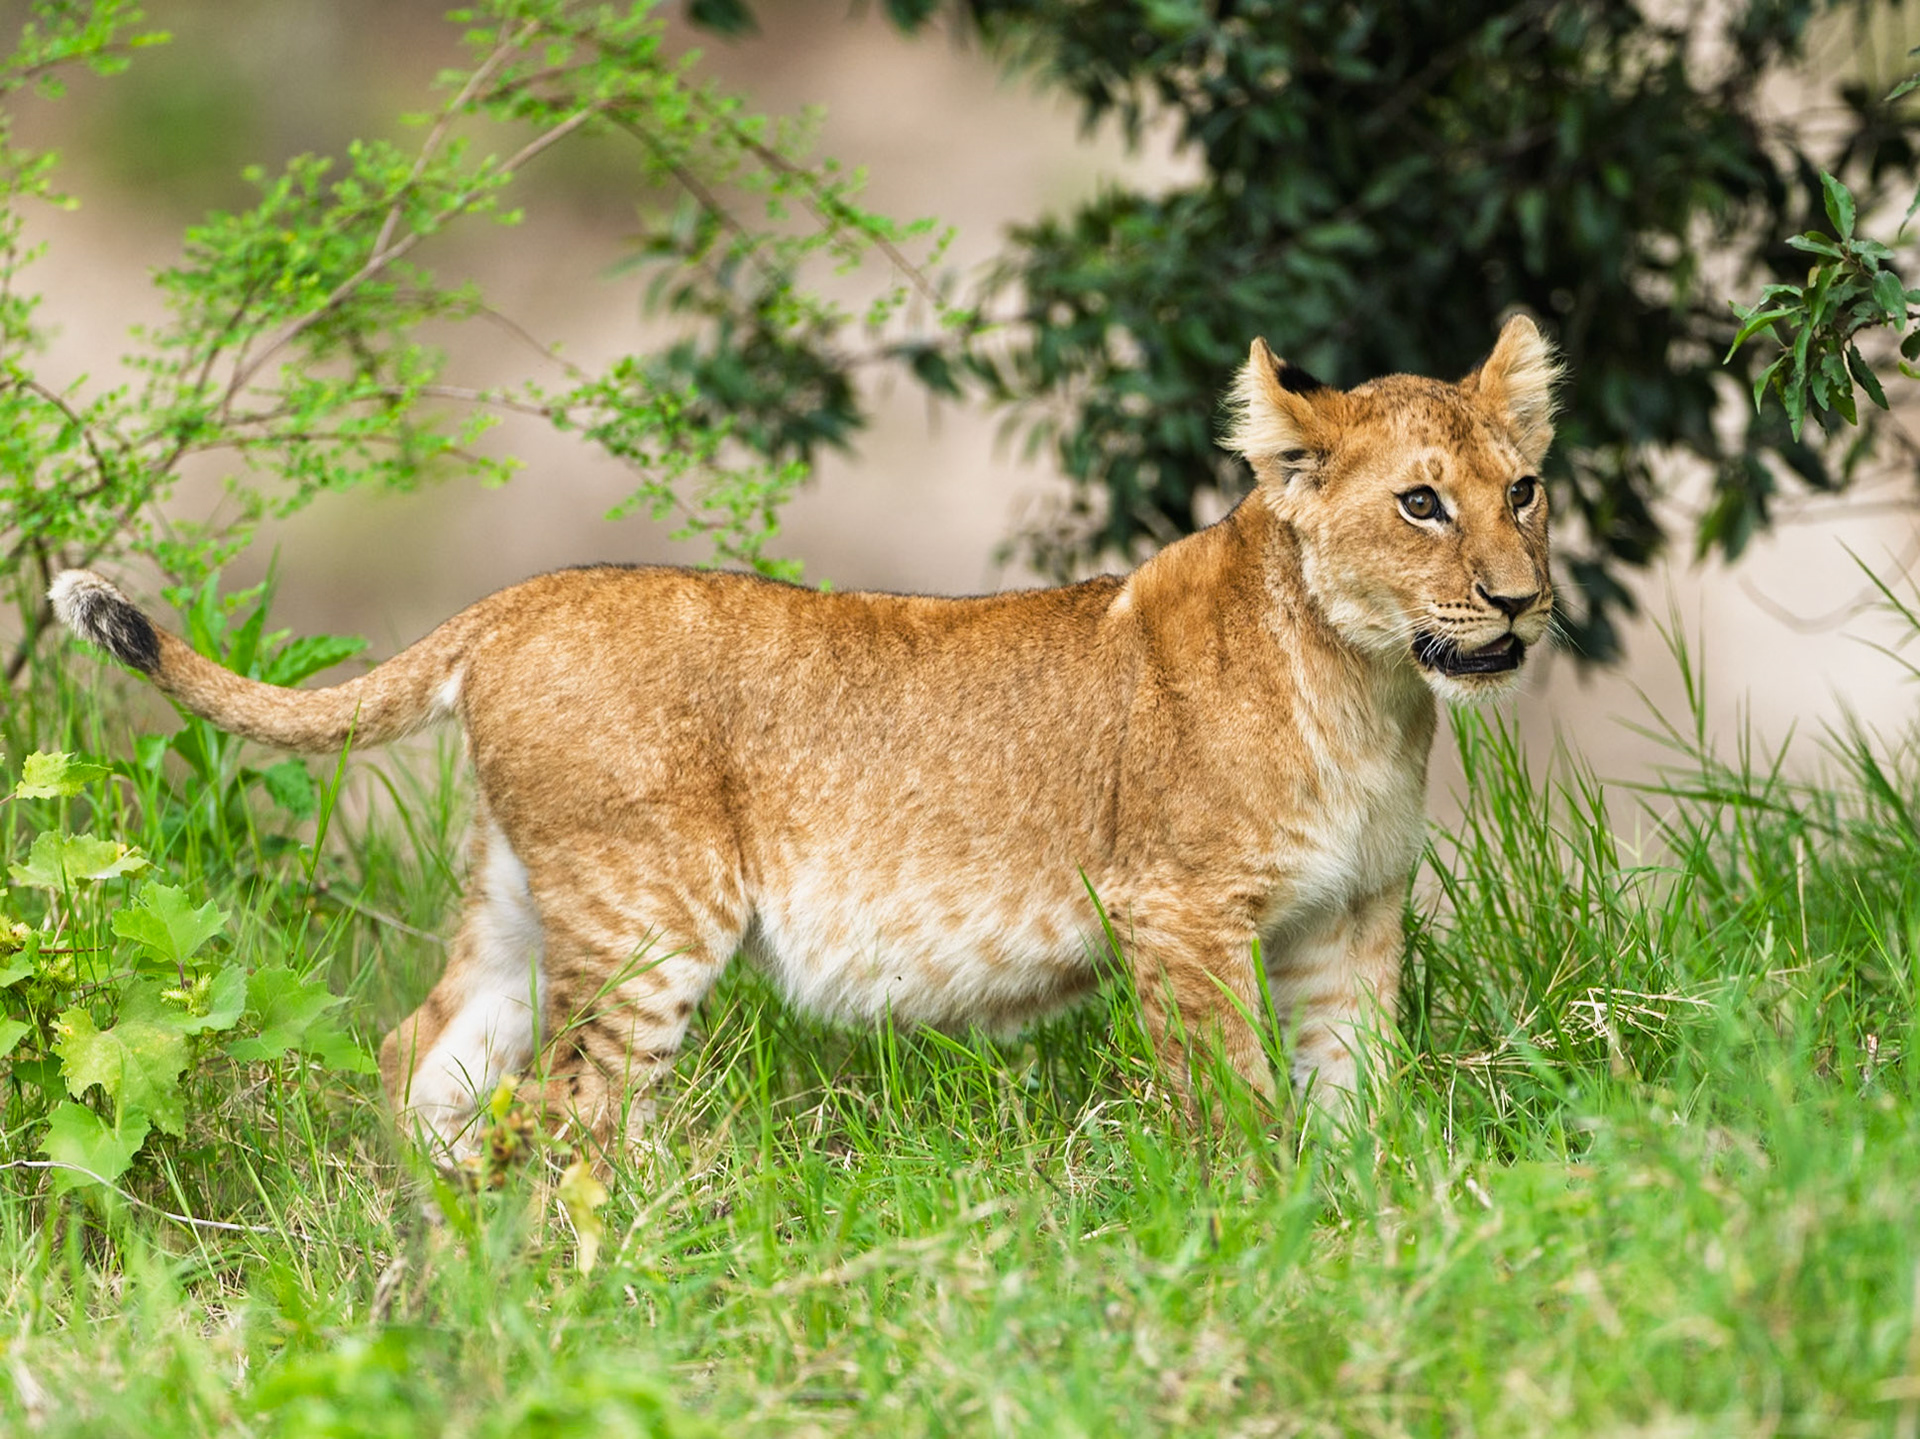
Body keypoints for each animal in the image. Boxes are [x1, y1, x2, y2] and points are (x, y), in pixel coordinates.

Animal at [52, 314, 1556, 1161]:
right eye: (1422, 504)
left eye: (1526, 490)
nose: (1521, 602)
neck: (1368, 684)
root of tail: (517, 597)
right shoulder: (1176, 907)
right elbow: (1235, 1103)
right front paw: (1248, 1222)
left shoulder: (1349, 919)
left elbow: (1357, 1097)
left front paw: (1360, 1223)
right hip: (653, 911)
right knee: (565, 1114)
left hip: (527, 902)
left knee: (426, 1062)